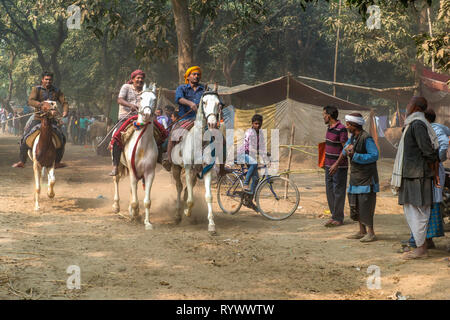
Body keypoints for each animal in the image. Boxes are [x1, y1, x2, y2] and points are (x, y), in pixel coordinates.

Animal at [112, 85, 158, 230]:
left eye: (155, 99)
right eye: (141, 97)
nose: (147, 113)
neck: (142, 146)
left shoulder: (150, 173)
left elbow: (147, 201)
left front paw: (147, 223)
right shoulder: (132, 171)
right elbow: (135, 200)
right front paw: (135, 215)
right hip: (118, 164)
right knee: (116, 179)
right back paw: (116, 206)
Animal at [171, 86, 223, 234]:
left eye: (218, 103)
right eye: (204, 102)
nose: (212, 123)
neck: (199, 140)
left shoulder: (206, 169)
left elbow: (208, 196)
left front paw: (211, 225)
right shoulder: (188, 168)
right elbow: (190, 200)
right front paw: (186, 211)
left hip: (195, 172)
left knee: (187, 188)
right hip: (177, 168)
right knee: (179, 186)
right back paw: (178, 215)